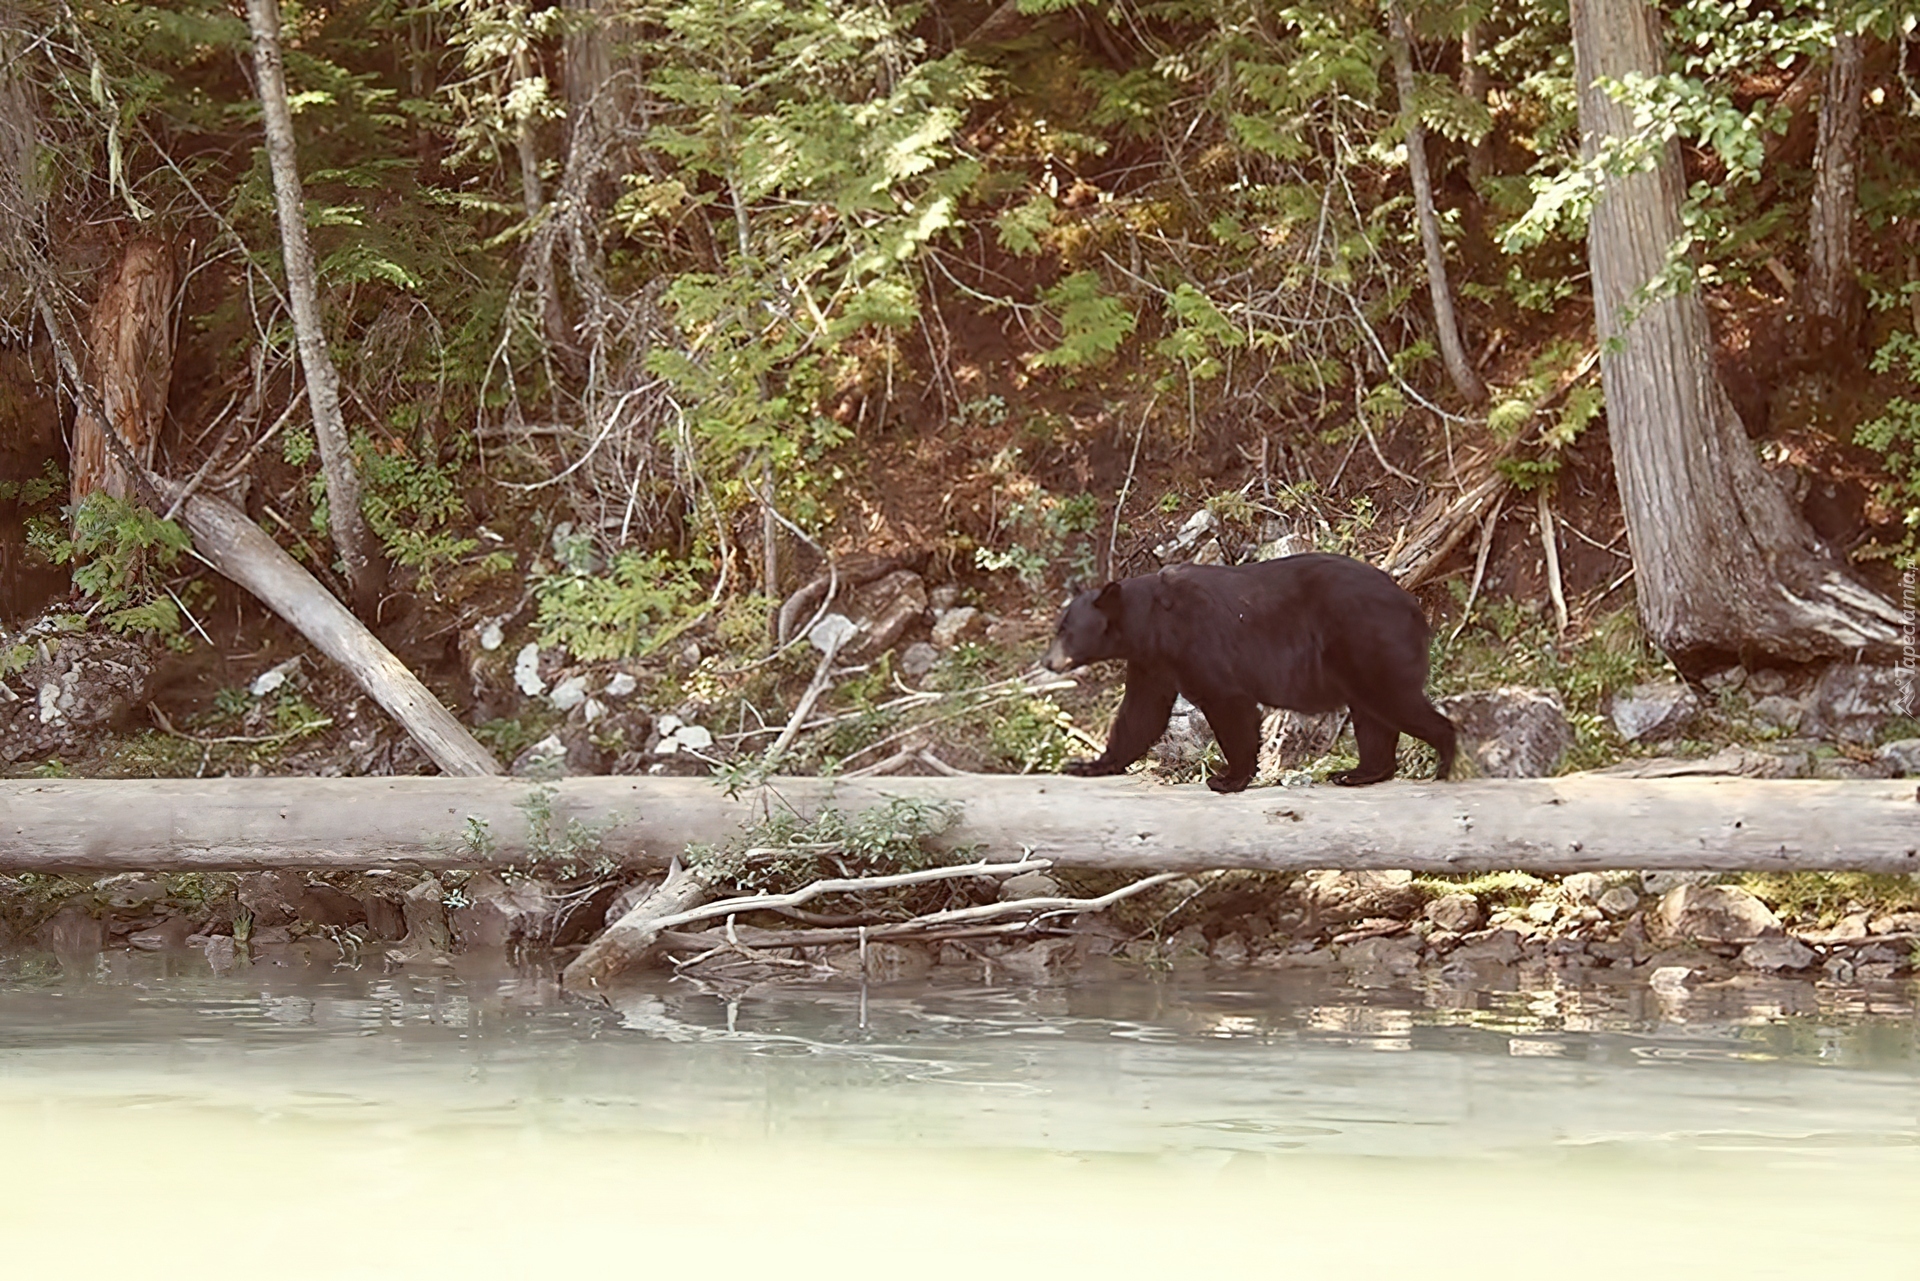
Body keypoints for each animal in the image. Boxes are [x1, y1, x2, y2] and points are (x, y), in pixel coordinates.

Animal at [1052, 553, 1451, 791]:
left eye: (1066, 631)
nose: (1048, 661)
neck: (1153, 623)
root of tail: (1414, 606)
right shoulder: (1153, 662)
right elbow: (1141, 713)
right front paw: (1091, 764)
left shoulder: (1198, 644)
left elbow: (1229, 704)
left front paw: (1229, 778)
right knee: (1372, 717)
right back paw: (1359, 772)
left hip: (1369, 640)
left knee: (1394, 702)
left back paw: (1444, 763)